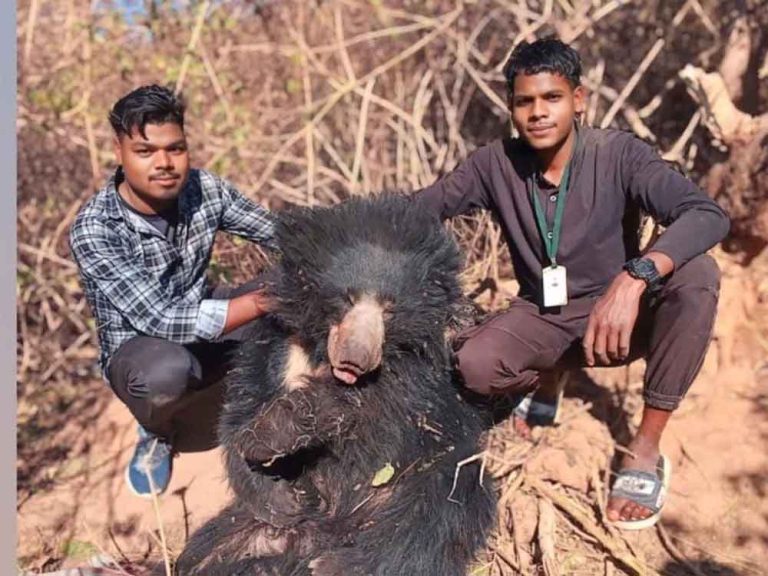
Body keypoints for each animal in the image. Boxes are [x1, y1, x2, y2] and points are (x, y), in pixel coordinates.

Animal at [176, 195, 496, 576]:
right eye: (347, 298)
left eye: (390, 309)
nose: (354, 359)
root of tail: (329, 529)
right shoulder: (278, 343)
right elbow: (240, 412)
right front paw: (278, 495)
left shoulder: (421, 372)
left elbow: (386, 409)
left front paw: (271, 432)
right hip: (247, 532)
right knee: (203, 554)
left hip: (423, 482)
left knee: (433, 513)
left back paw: (337, 563)